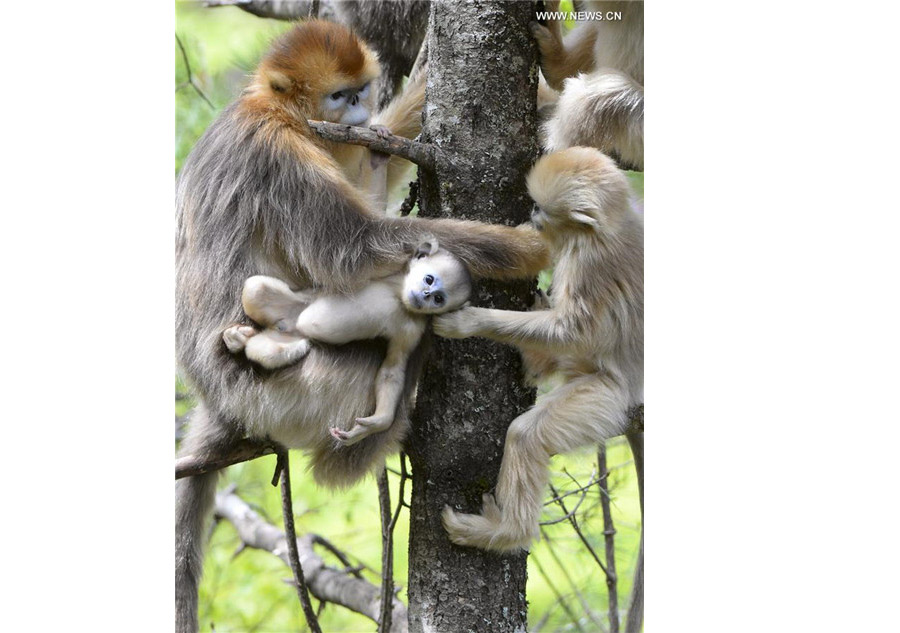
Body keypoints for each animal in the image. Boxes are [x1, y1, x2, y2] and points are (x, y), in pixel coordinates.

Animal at [221, 238, 472, 444]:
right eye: (429, 279)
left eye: (439, 299)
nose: (425, 296)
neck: (397, 296)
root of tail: (286, 326)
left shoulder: (411, 331)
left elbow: (392, 370)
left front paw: (377, 423)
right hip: (290, 308)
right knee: (256, 288)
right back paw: (238, 338)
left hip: (286, 337)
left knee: (268, 350)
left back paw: (249, 342)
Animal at [434, 146, 640, 552]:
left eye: (543, 208)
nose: (532, 212)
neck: (607, 227)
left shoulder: (589, 265)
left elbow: (577, 332)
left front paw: (468, 322)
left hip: (606, 398)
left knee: (526, 435)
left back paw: (502, 532)